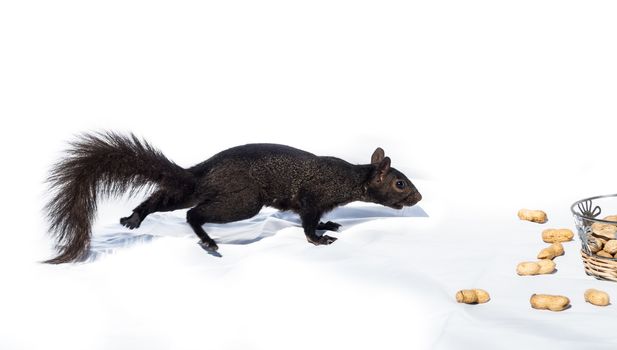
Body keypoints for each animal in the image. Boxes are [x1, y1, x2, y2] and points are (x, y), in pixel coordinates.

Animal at [43, 131, 418, 262]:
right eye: (400, 183)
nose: (418, 198)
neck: (350, 177)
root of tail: (203, 171)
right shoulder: (313, 195)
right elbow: (308, 223)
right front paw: (319, 238)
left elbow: (315, 218)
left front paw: (330, 225)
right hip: (243, 200)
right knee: (193, 214)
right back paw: (208, 242)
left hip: (195, 190)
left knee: (167, 200)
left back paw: (134, 218)